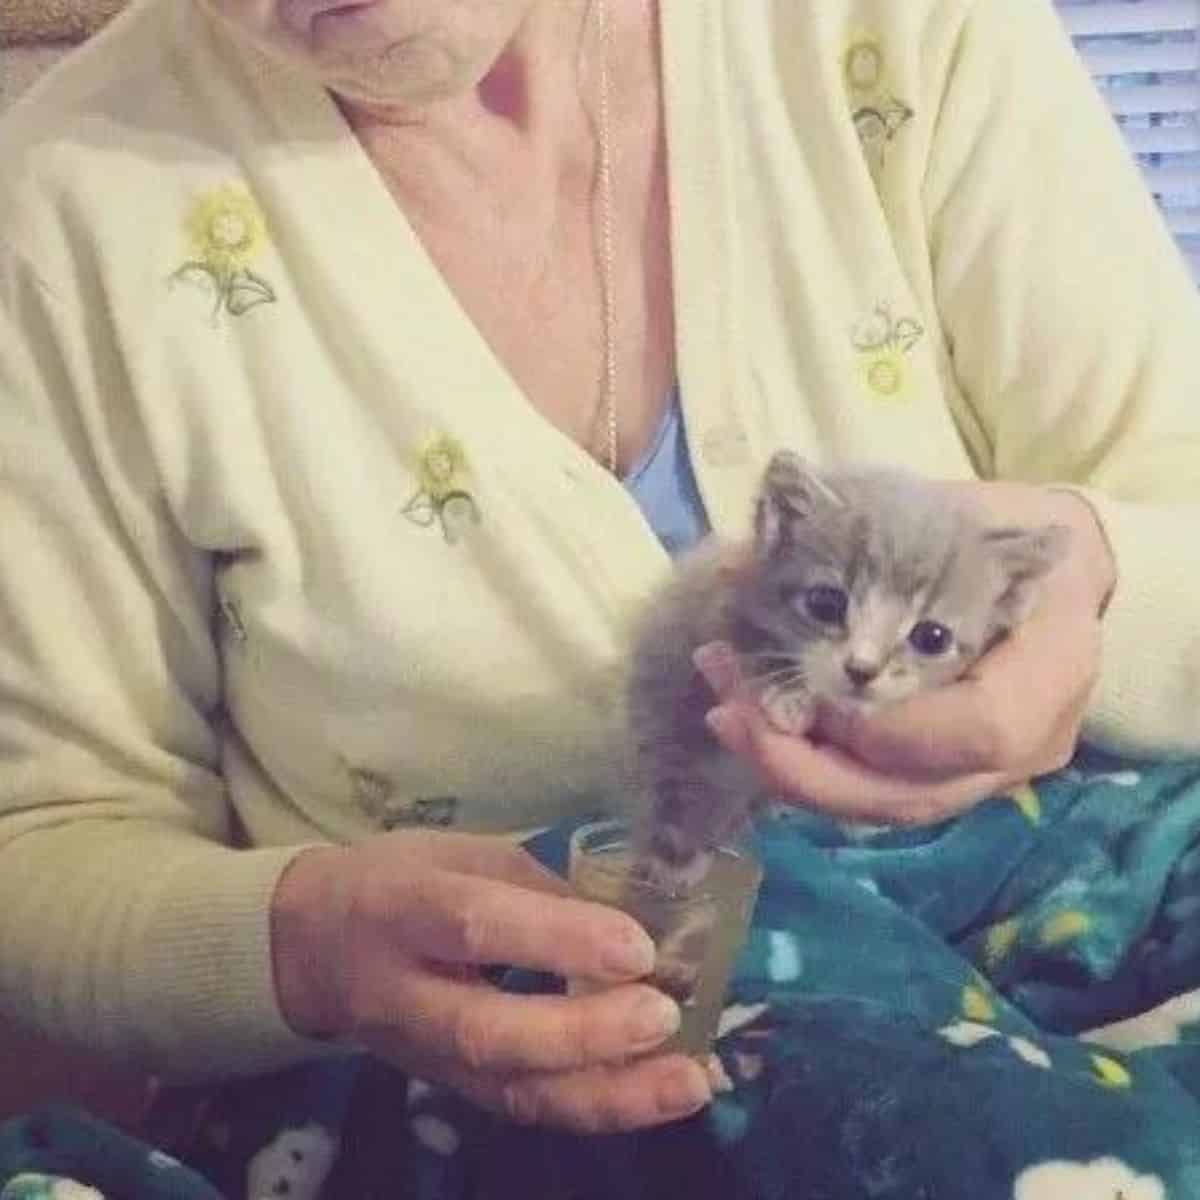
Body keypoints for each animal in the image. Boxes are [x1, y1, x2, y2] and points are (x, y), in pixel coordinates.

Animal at [628, 453, 1070, 897]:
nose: (862, 669)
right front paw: (787, 694)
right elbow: (746, 643)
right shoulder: (710, 611)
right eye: (826, 603)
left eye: (932, 637)